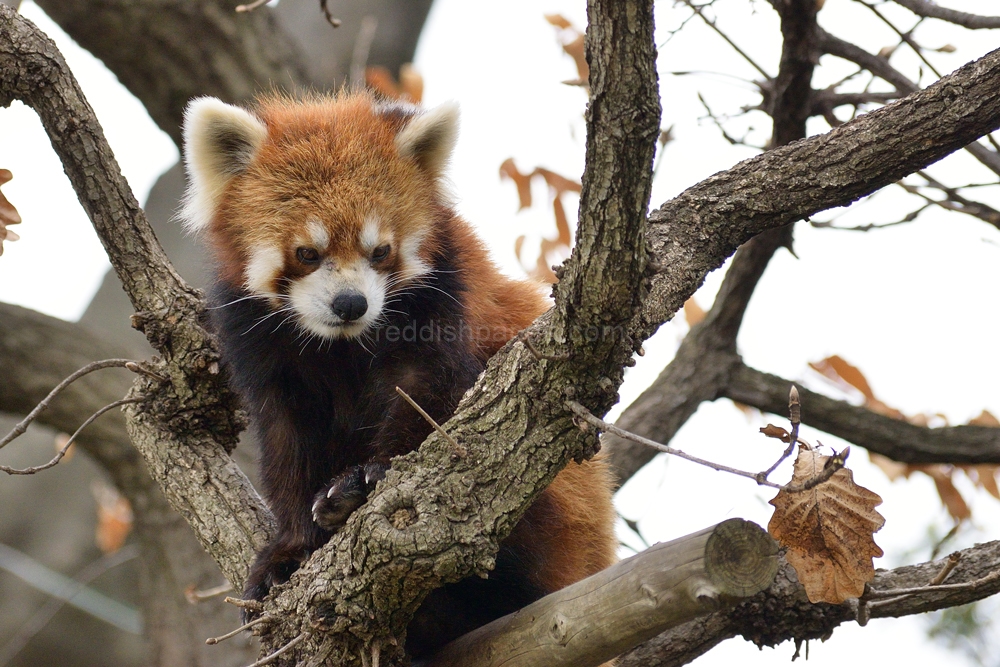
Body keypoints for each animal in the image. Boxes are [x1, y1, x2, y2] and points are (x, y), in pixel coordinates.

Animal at [181, 92, 616, 656]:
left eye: (380, 251)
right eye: (307, 253)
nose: (351, 303)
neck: (341, 345)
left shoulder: (445, 299)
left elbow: (429, 397)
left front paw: (369, 479)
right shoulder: (260, 344)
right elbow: (287, 443)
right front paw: (287, 552)